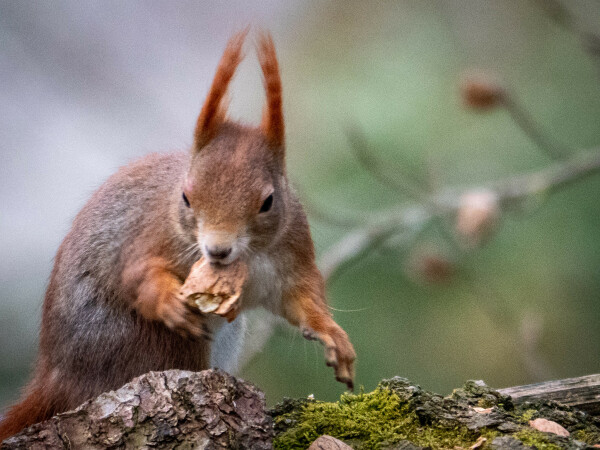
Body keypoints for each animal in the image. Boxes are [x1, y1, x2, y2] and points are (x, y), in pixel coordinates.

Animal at [0, 29, 354, 442]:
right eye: (185, 196)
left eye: (268, 201)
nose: (217, 249)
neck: (247, 259)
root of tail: (59, 375)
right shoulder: (153, 236)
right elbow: (137, 274)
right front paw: (167, 299)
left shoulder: (293, 254)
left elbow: (302, 300)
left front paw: (333, 336)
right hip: (153, 342)